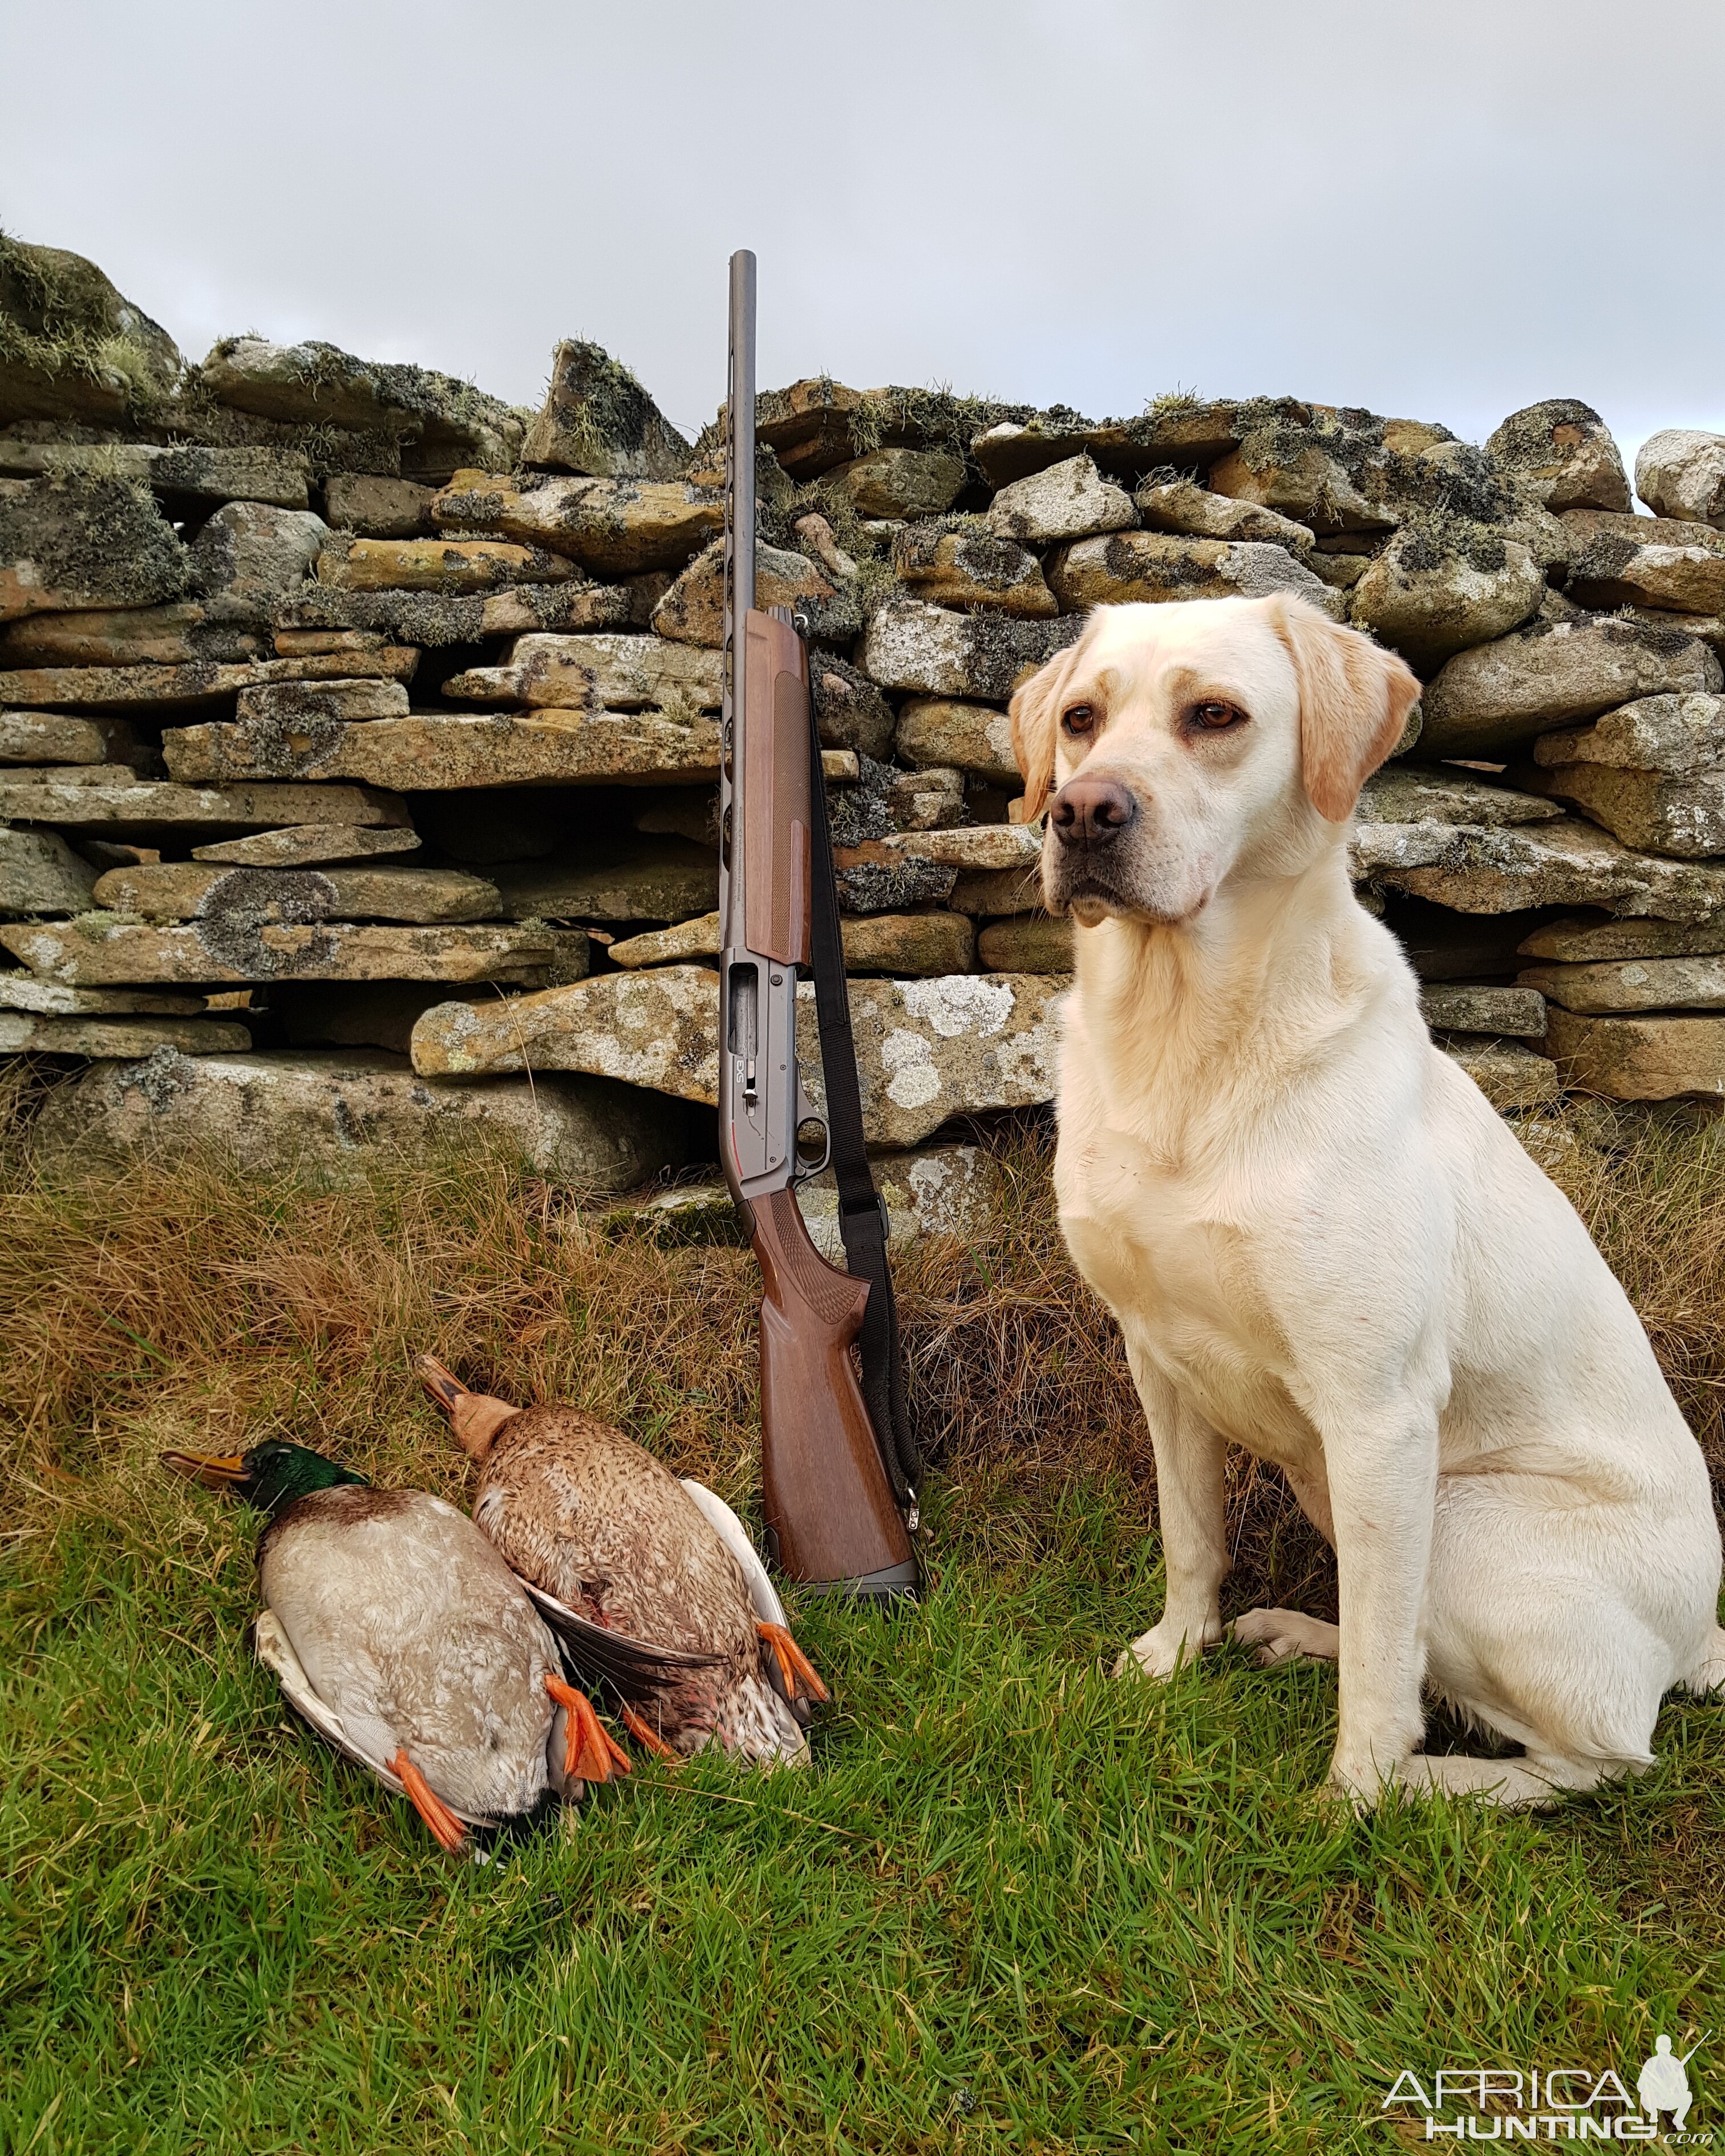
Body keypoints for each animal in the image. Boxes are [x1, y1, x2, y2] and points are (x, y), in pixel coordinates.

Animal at [1009, 595, 1725, 1802]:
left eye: (1215, 715)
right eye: (1078, 718)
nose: (1079, 811)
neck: (1182, 1047)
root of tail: (1700, 1641)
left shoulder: (1376, 1411)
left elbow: (1384, 1669)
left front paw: (1352, 1794)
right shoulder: (1155, 1355)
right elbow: (1189, 1534)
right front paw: (1174, 1653)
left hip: (1459, 1519)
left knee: (1587, 1754)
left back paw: (1421, 1785)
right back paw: (1298, 1635)